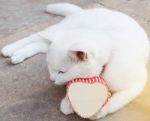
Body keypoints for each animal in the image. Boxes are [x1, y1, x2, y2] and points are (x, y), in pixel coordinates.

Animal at [0, 3, 149, 120]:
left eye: (61, 72)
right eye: (50, 68)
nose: (51, 79)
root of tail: (82, 11)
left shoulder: (137, 83)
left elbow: (117, 100)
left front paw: (101, 110)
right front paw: (68, 103)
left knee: (39, 44)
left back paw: (17, 55)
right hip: (58, 29)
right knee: (34, 36)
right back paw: (9, 49)